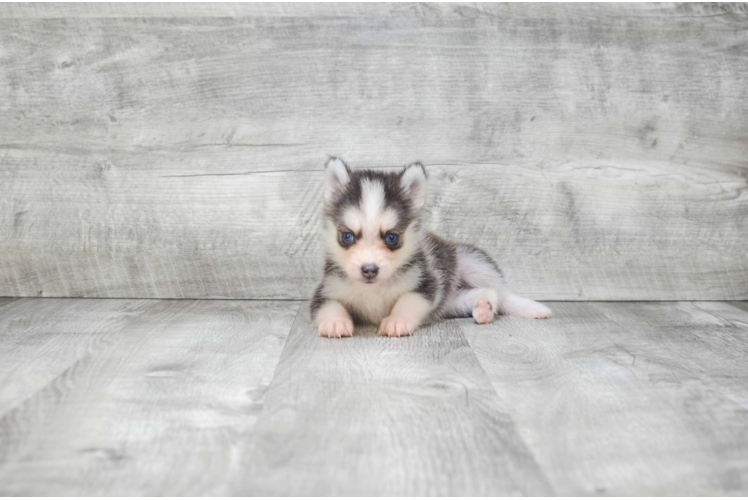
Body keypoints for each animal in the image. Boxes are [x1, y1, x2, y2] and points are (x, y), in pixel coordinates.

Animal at [312, 158, 552, 338]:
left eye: (391, 237)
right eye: (347, 236)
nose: (369, 270)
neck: (375, 289)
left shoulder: (427, 285)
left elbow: (407, 301)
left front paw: (397, 320)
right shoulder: (325, 291)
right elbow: (329, 306)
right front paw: (334, 322)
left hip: (470, 260)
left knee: (500, 293)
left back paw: (517, 307)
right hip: (451, 302)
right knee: (485, 292)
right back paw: (483, 308)